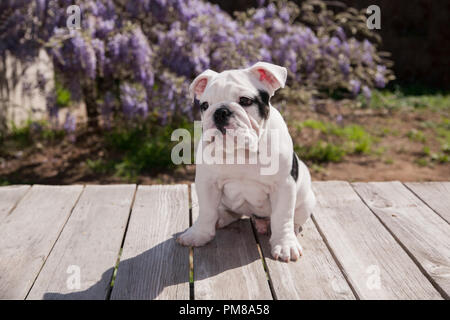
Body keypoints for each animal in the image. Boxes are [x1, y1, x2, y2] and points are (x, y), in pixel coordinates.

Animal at [177, 61, 316, 262]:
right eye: (204, 105)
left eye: (245, 101)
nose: (220, 112)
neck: (241, 152)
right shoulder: (207, 183)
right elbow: (206, 210)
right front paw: (199, 234)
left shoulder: (283, 186)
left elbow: (282, 216)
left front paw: (285, 244)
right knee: (227, 212)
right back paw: (222, 218)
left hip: (306, 201)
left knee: (294, 218)